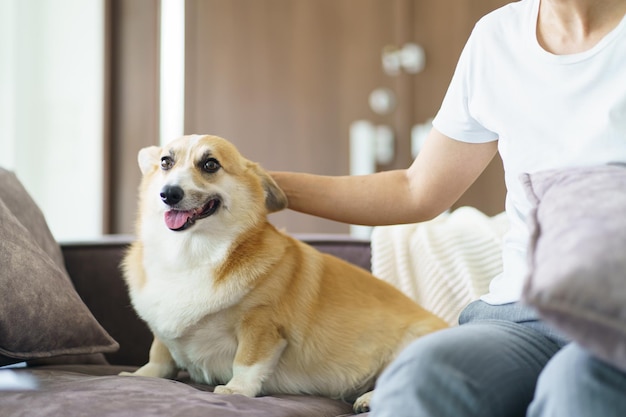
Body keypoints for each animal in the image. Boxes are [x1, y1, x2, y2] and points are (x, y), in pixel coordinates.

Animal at [119, 135, 446, 412]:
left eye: (210, 164)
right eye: (165, 161)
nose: (168, 193)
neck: (189, 253)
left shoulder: (262, 324)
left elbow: (247, 360)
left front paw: (236, 390)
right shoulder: (162, 329)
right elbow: (160, 353)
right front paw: (142, 375)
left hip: (411, 344)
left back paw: (369, 398)